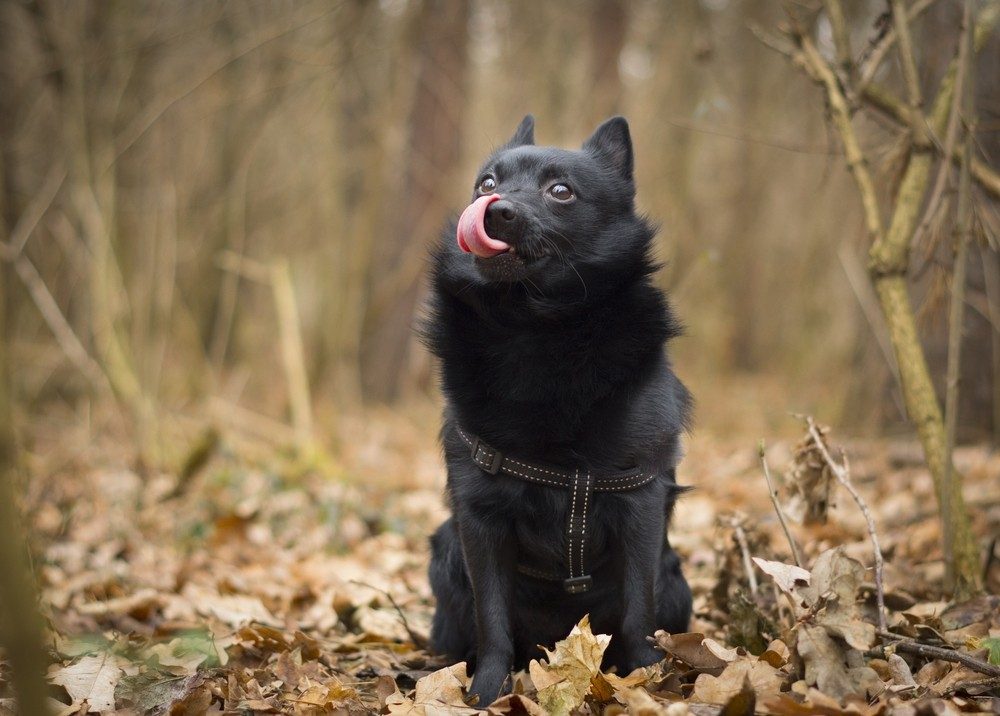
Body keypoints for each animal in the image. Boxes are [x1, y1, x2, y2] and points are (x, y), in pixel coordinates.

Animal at [420, 114, 688, 704]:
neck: (535, 328)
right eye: (487, 183)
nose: (494, 210)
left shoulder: (638, 502)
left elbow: (638, 613)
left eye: (560, 191)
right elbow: (493, 620)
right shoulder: (479, 519)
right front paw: (487, 691)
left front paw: (644, 682)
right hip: (445, 556)